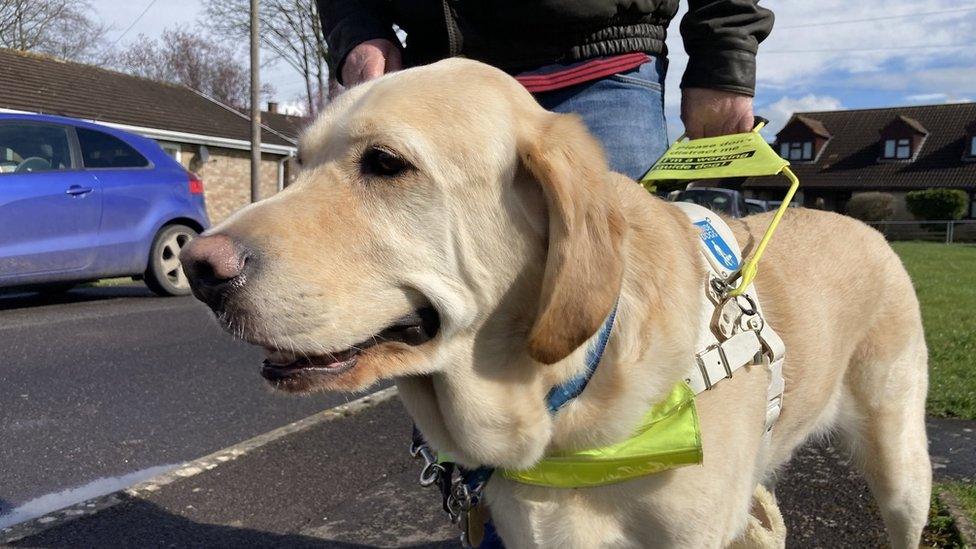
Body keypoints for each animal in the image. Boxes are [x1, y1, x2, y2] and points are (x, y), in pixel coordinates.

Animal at [181, 57, 932, 544]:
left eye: (386, 164)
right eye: (298, 166)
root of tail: (866, 227)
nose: (197, 267)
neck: (566, 411)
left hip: (901, 468)